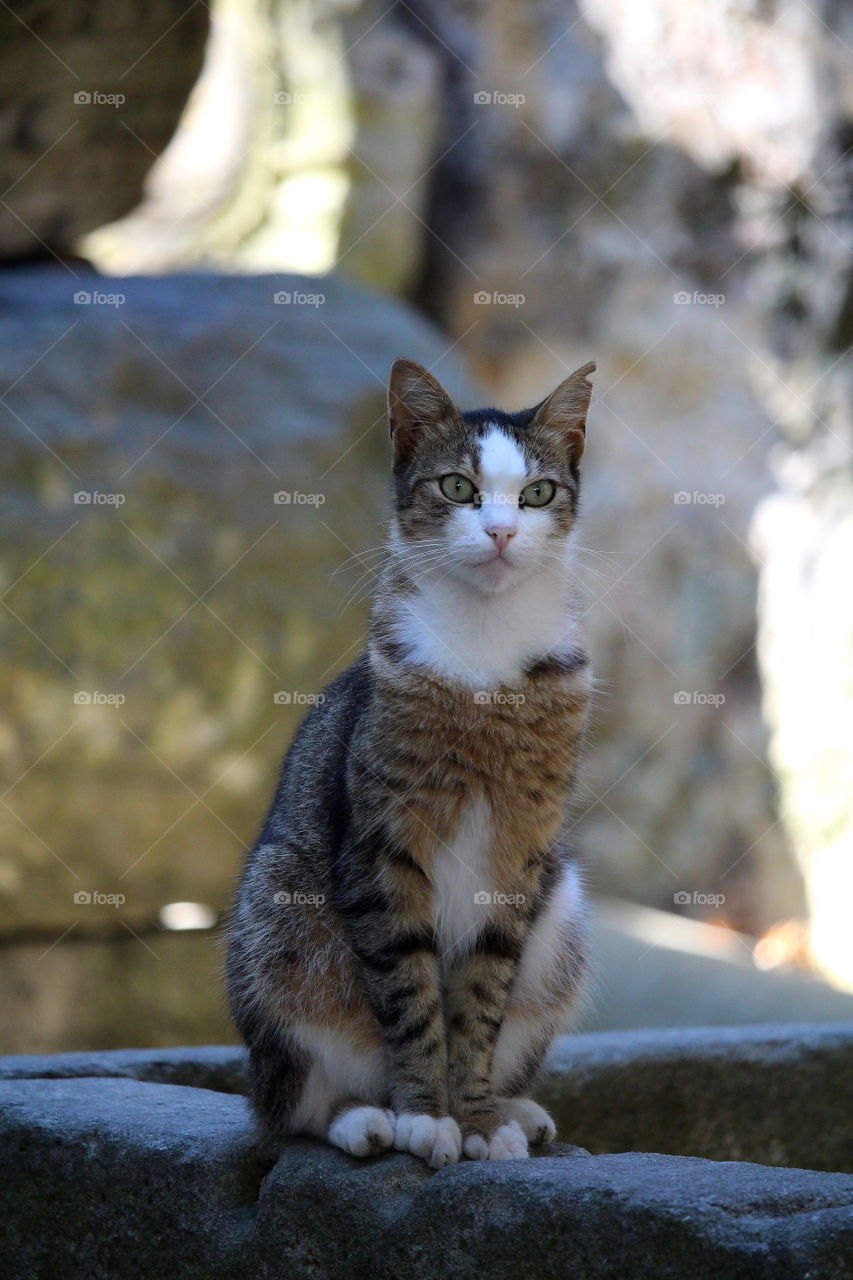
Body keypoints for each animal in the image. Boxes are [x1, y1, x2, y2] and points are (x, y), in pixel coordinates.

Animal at [227, 355, 596, 1167]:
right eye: (456, 487)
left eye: (538, 493)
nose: (500, 530)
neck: (486, 642)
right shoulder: (382, 848)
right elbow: (410, 994)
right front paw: (428, 1116)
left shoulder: (520, 851)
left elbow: (481, 999)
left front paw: (479, 1118)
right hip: (278, 911)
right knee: (288, 1107)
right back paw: (364, 1118)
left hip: (561, 906)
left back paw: (514, 1109)